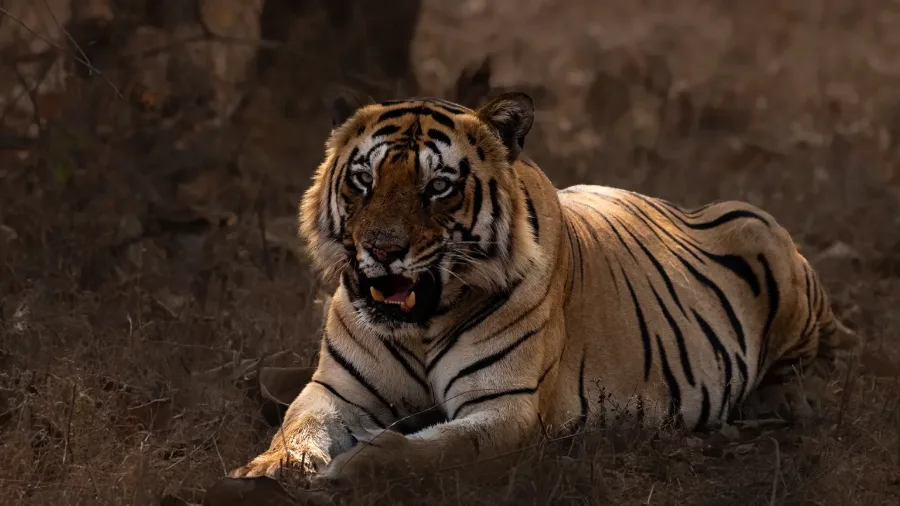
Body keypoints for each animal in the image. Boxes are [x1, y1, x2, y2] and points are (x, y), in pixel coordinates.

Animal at [229, 91, 859, 483]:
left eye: (439, 187)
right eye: (364, 180)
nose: (382, 251)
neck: (420, 326)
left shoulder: (505, 408)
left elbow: (428, 453)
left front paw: (356, 469)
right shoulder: (338, 391)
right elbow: (297, 427)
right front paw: (268, 470)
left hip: (762, 230)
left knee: (824, 361)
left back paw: (785, 401)